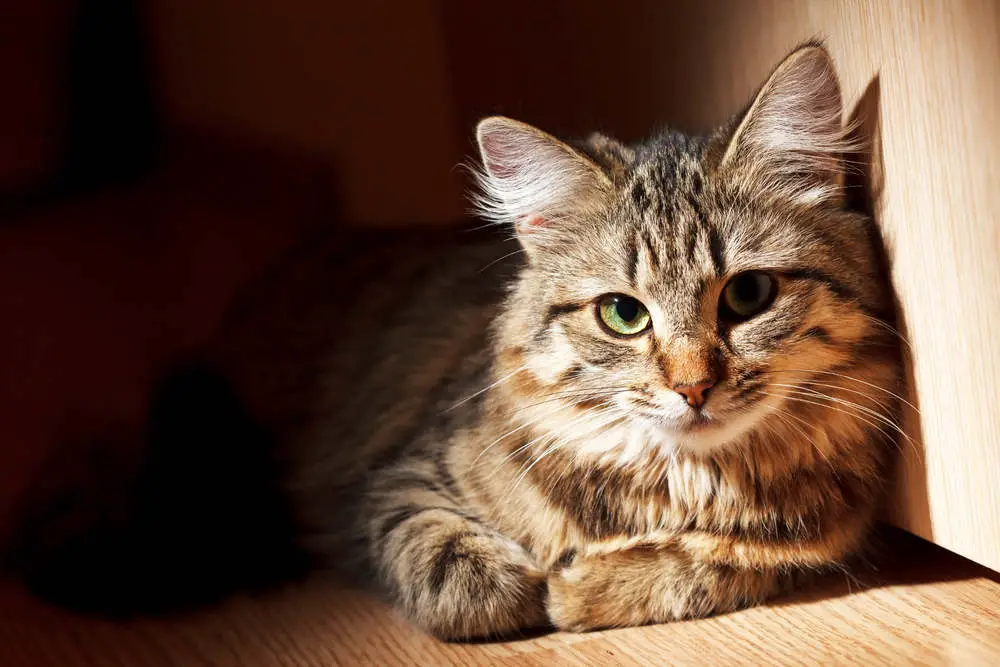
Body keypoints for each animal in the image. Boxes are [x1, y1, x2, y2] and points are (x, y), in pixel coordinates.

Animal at [13, 44, 908, 640]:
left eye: (748, 296)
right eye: (623, 314)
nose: (692, 387)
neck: (684, 479)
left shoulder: (820, 535)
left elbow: (715, 564)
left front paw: (587, 586)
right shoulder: (391, 483)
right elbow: (457, 570)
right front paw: (533, 588)